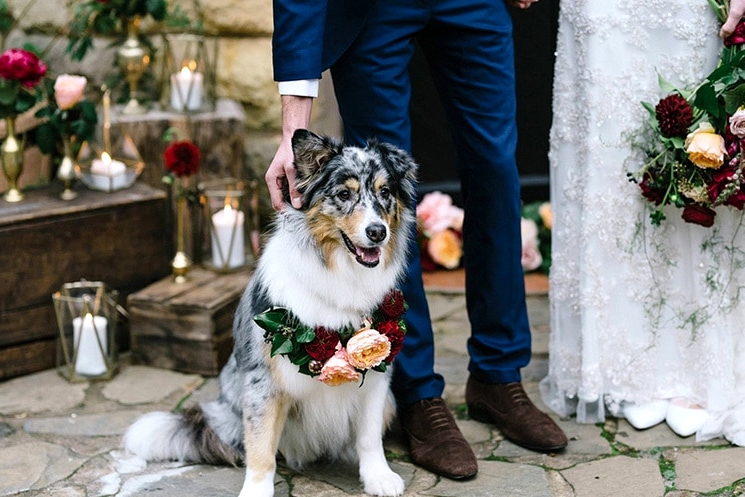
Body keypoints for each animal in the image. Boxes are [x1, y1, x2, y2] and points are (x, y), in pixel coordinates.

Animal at [125, 129, 422, 496]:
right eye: (343, 194)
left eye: (385, 193)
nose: (377, 232)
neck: (340, 270)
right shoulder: (262, 381)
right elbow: (261, 444)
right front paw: (257, 489)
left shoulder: (379, 371)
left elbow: (368, 435)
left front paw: (378, 477)